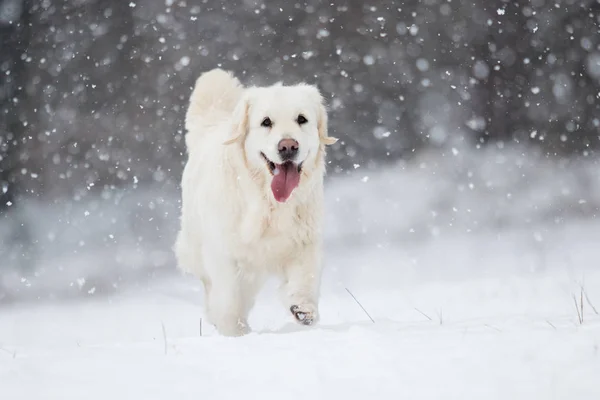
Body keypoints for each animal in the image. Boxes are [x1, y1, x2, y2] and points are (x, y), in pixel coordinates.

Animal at [173, 69, 338, 338]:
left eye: (302, 119)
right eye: (266, 122)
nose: (288, 146)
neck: (268, 202)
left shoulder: (305, 240)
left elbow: (306, 275)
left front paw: (303, 308)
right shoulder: (224, 253)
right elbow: (228, 298)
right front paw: (234, 332)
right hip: (196, 248)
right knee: (213, 288)